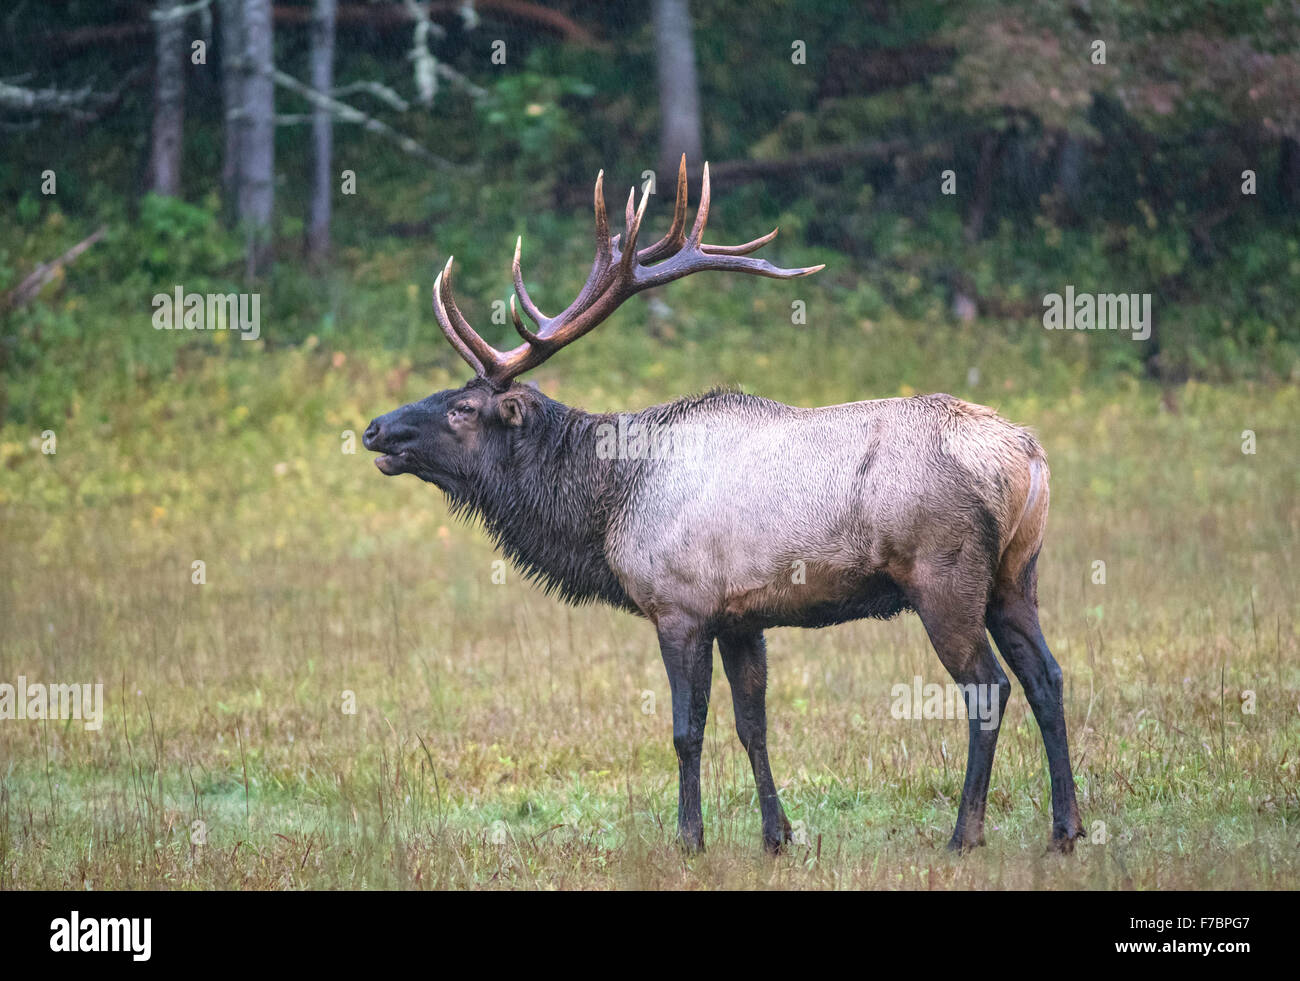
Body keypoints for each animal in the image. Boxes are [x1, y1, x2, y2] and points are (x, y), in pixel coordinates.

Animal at [366, 157, 1086, 857]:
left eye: (463, 408)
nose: (375, 429)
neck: (609, 504)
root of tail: (1027, 459)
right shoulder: (742, 616)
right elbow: (752, 725)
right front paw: (777, 835)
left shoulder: (679, 606)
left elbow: (688, 729)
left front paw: (690, 837)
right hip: (1016, 573)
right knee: (1047, 677)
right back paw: (1065, 828)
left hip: (945, 575)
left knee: (989, 686)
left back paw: (966, 833)